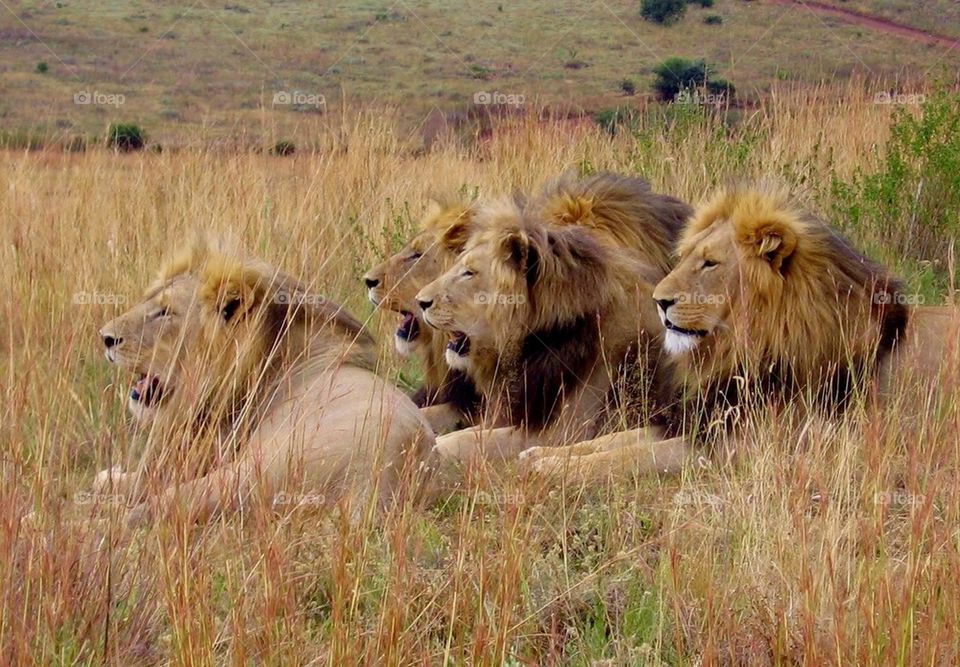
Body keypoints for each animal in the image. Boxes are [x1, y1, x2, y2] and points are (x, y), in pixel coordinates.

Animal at [94, 239, 435, 526]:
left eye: (164, 312)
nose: (105, 338)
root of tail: (378, 480)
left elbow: (132, 483)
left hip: (250, 470)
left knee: (154, 507)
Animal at [522, 184, 960, 480]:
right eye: (684, 257)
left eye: (710, 263)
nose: (658, 301)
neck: (743, 346)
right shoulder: (699, 420)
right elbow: (611, 442)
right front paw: (541, 454)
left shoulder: (734, 448)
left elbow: (624, 458)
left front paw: (547, 469)